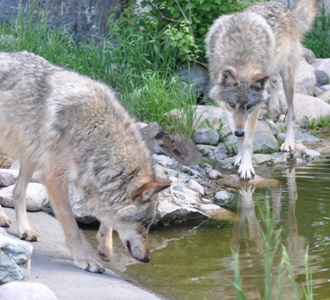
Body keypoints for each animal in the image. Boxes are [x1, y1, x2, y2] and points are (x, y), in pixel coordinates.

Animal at [0, 51, 170, 272]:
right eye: (144, 226)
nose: (148, 259)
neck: (97, 133)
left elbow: (107, 217)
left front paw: (105, 247)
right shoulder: (54, 179)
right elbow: (72, 227)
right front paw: (84, 260)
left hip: (30, 156)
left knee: (17, 192)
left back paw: (25, 229)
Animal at [208, 0, 318, 180]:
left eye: (249, 106)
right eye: (232, 104)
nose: (239, 132)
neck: (240, 57)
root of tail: (284, 8)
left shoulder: (254, 109)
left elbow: (248, 141)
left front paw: (246, 167)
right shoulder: (228, 110)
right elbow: (239, 139)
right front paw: (239, 158)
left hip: (287, 76)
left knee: (292, 112)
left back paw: (288, 142)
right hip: (270, 72)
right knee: (272, 83)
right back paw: (273, 110)